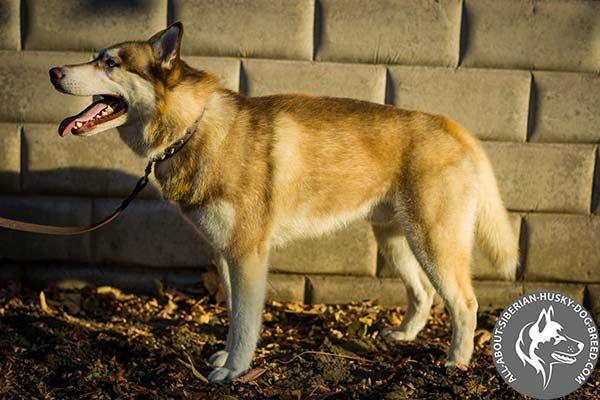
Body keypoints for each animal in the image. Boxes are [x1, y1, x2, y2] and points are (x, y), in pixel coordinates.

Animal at [49, 22, 516, 384]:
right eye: (95, 57)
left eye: (111, 63)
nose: (53, 71)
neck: (194, 126)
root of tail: (452, 126)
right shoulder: (226, 255)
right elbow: (234, 313)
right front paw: (226, 357)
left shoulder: (248, 255)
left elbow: (246, 322)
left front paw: (233, 371)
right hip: (395, 240)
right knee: (423, 293)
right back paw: (404, 337)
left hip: (433, 242)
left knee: (465, 304)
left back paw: (456, 363)